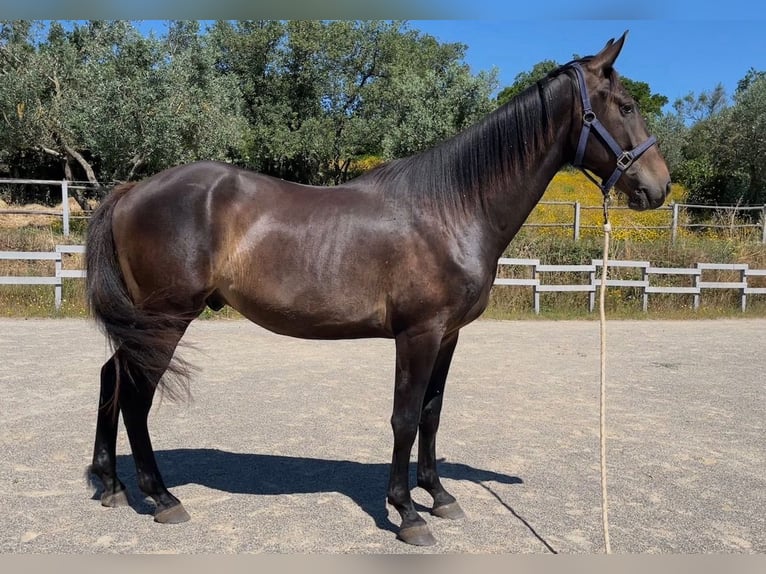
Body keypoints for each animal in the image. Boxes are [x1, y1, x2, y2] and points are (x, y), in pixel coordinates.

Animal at [85, 33, 672, 548]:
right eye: (625, 105)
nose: (658, 186)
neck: (452, 208)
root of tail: (133, 190)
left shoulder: (448, 335)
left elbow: (432, 411)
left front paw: (439, 495)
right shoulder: (418, 334)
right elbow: (405, 417)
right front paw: (408, 513)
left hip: (144, 324)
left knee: (111, 378)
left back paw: (111, 485)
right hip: (165, 320)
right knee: (135, 396)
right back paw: (162, 498)